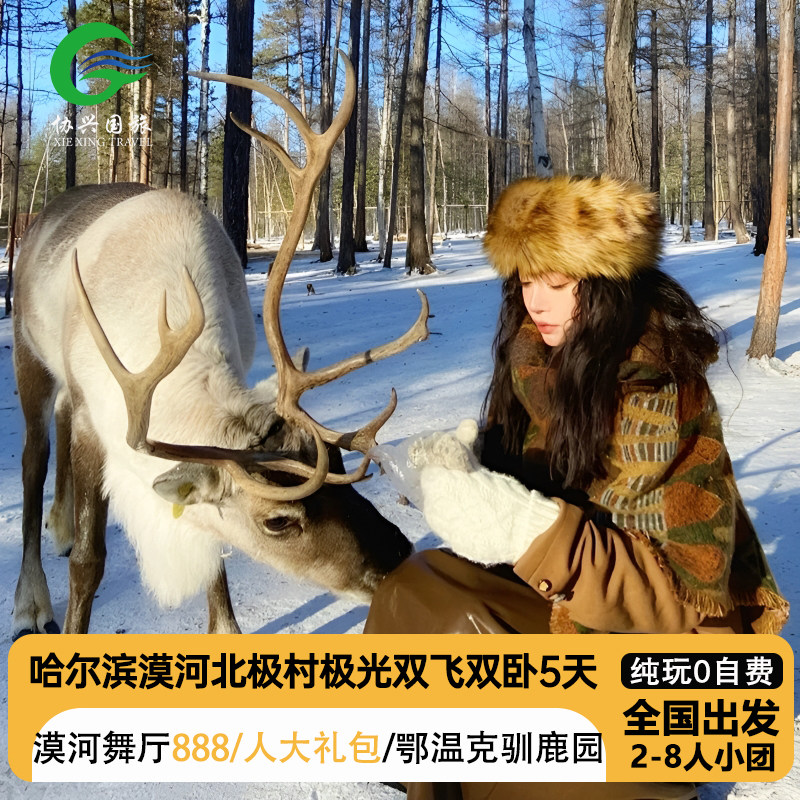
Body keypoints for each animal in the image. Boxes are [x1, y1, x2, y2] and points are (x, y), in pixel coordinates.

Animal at [12, 53, 427, 638]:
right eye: (278, 522)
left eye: (341, 473)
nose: (397, 556)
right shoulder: (98, 420)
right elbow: (89, 563)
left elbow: (213, 557)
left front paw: (226, 629)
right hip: (29, 355)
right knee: (35, 455)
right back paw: (31, 599)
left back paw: (61, 524)